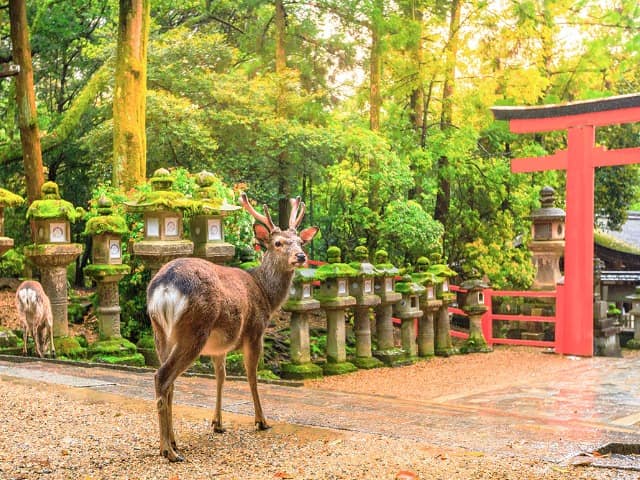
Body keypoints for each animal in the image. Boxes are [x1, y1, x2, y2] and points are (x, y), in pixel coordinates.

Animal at [144, 192, 316, 462]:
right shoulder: (255, 330)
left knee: (168, 382)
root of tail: (164, 287)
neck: (266, 294)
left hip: (160, 332)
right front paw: (262, 421)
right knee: (162, 376)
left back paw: (173, 441)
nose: (300, 256)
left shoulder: (219, 346)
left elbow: (221, 377)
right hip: (194, 330)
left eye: (300, 241)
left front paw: (218, 423)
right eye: (277, 243)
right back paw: (168, 451)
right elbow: (252, 376)